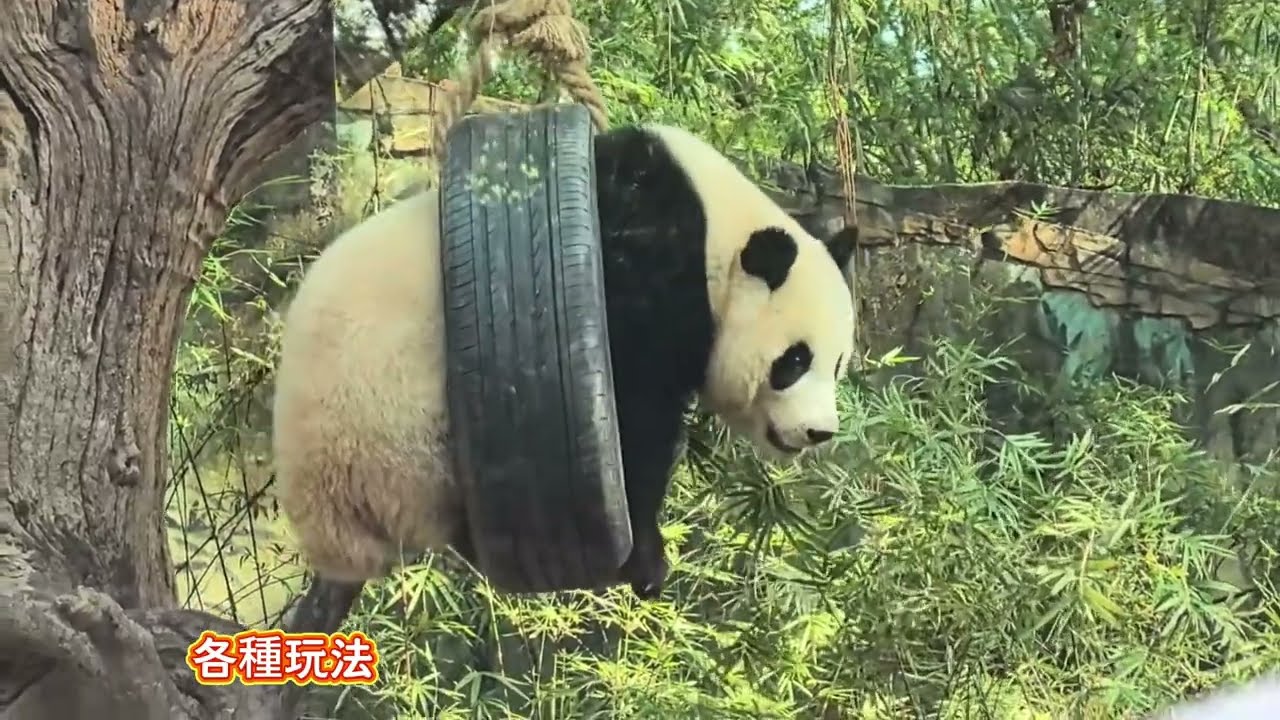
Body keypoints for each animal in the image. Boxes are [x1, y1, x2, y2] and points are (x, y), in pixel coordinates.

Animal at [272, 122, 857, 605]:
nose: (819, 431)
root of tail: (327, 533)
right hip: (399, 426)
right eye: (794, 360)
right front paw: (647, 559)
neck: (718, 232)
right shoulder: (640, 265)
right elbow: (635, 409)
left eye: (838, 364)